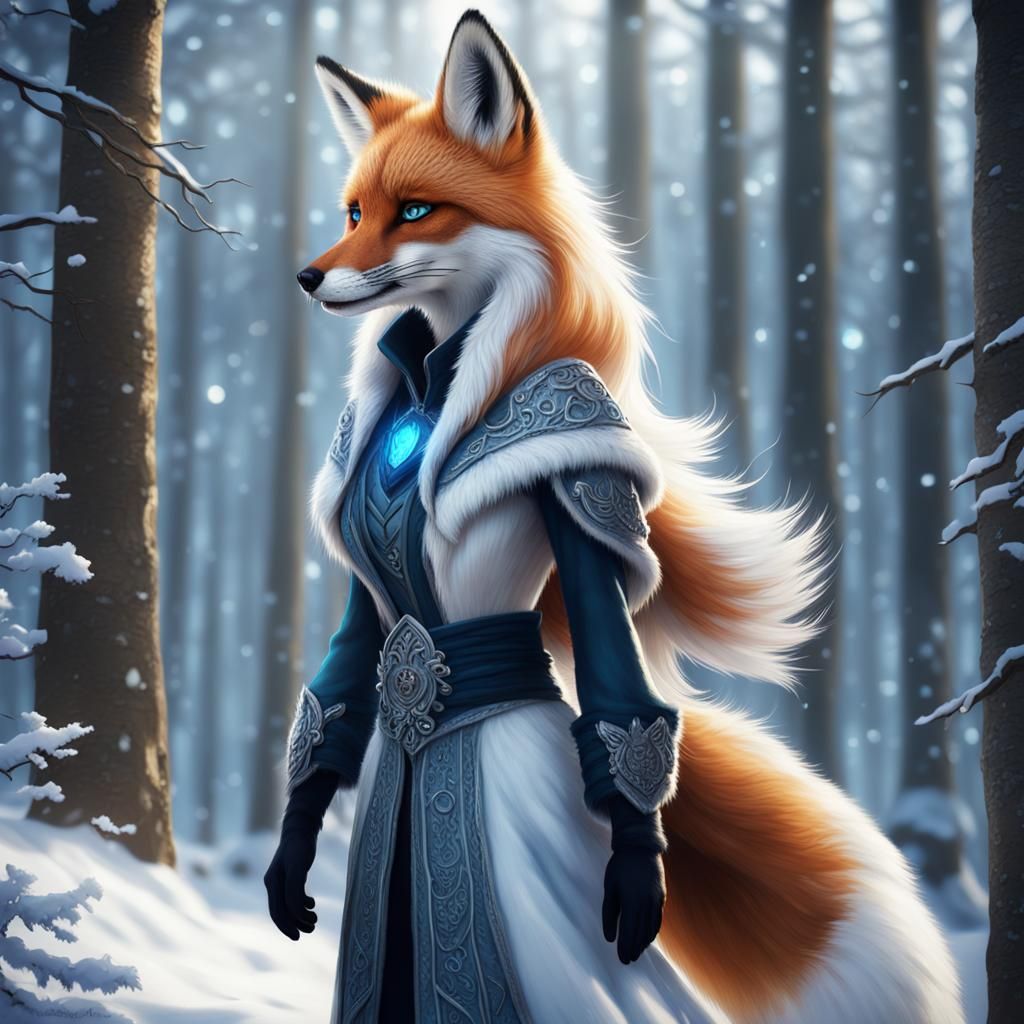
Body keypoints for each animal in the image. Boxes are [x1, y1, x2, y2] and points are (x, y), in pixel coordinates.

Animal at [297, 9, 963, 1023]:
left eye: (413, 211)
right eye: (352, 213)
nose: (306, 277)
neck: (434, 387)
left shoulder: (580, 459)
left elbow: (625, 706)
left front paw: (639, 882)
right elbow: (338, 686)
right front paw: (289, 859)